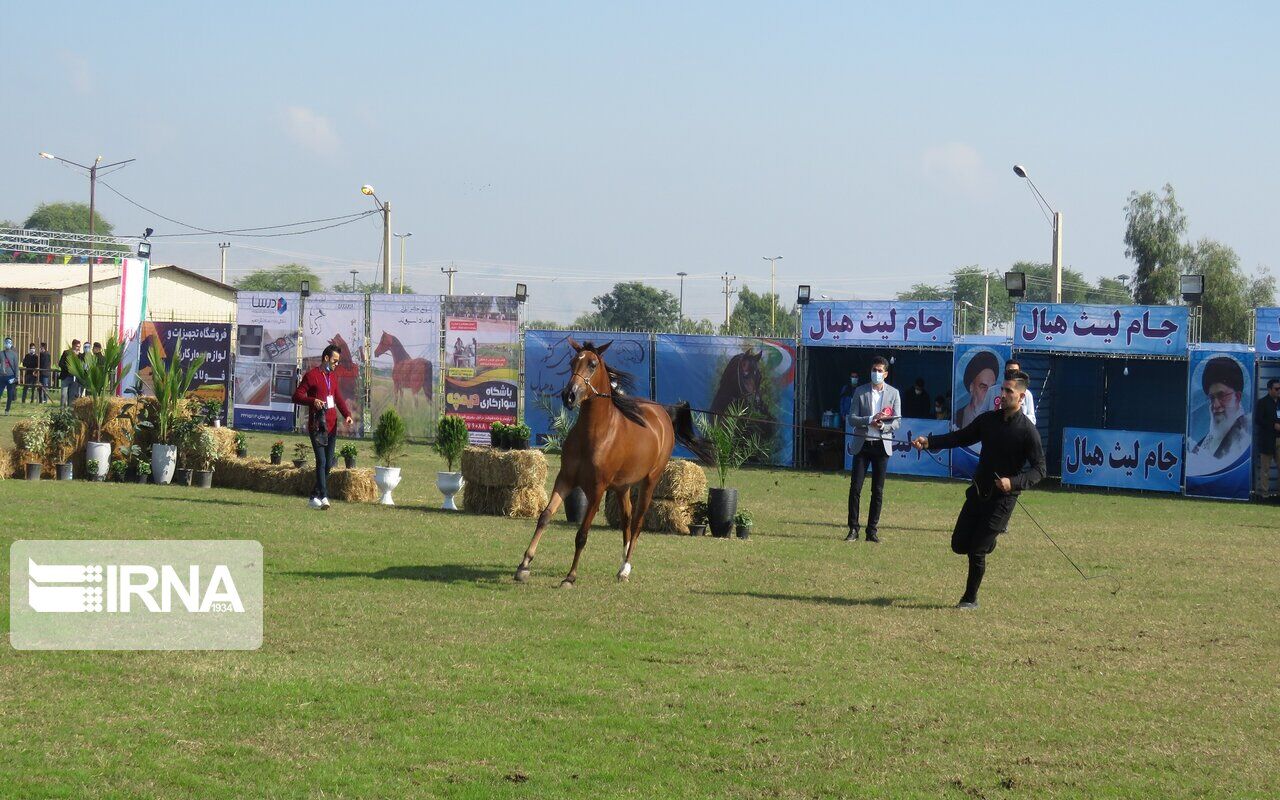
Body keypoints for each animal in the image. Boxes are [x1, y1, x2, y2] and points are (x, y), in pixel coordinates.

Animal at [512, 337, 711, 586]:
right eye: (571, 362)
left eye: (592, 364)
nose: (569, 395)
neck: (595, 433)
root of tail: (663, 414)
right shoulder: (565, 479)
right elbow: (544, 517)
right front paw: (523, 566)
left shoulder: (597, 489)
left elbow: (582, 534)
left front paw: (570, 577)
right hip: (622, 487)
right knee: (626, 519)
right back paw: (622, 563)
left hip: (649, 481)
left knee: (637, 522)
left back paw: (625, 568)